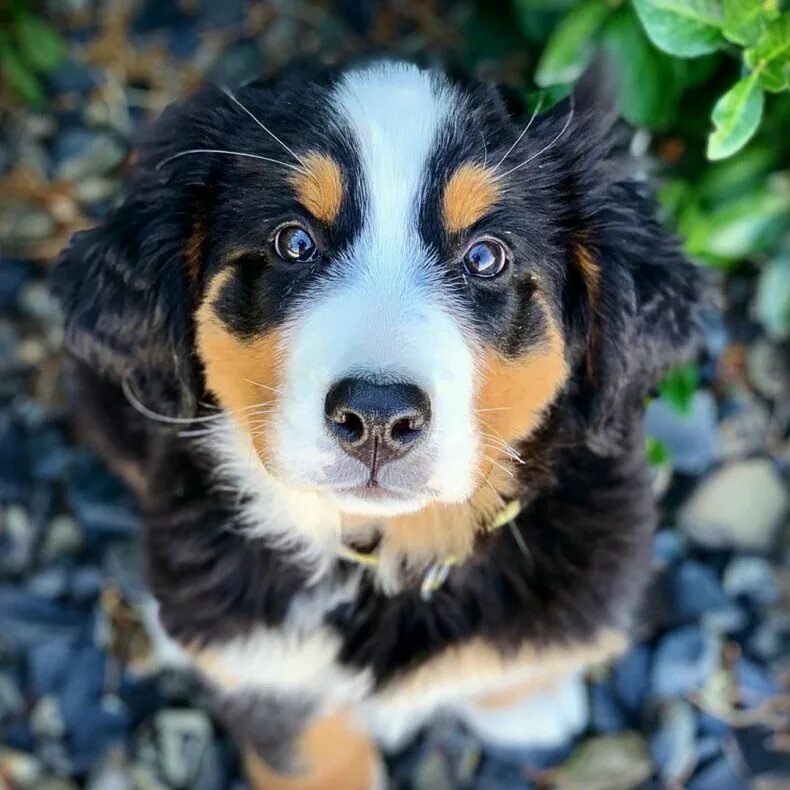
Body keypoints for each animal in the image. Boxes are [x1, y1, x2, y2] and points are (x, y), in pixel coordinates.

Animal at [52, 58, 704, 788]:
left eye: (486, 257)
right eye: (294, 242)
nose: (376, 416)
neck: (386, 553)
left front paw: (523, 699)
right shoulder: (272, 677)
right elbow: (309, 750)